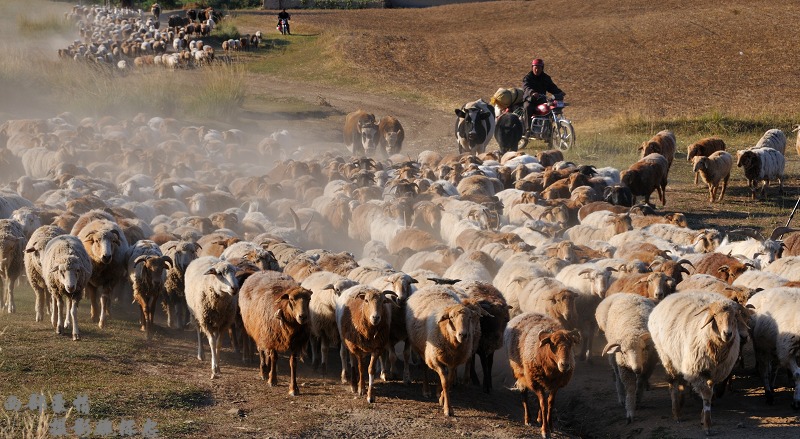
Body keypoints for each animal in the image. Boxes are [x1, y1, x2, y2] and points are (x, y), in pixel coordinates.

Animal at [238, 270, 312, 398]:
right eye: (291, 299)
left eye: (309, 300)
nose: (303, 317)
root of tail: (258, 272)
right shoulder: (272, 337)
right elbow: (274, 357)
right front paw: (272, 380)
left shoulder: (295, 342)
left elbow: (293, 363)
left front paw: (293, 388)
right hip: (259, 330)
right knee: (261, 350)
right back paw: (264, 371)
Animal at [404, 286, 484, 416]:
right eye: (451, 317)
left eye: (470, 318)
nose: (463, 335)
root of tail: (432, 286)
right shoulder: (435, 359)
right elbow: (445, 382)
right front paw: (448, 408)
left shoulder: (454, 361)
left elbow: (449, 380)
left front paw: (442, 398)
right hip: (422, 349)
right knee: (425, 368)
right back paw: (426, 390)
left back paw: (437, 392)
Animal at [592, 294, 656, 424]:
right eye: (624, 352)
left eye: (643, 349)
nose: (637, 369)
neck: (633, 327)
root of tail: (628, 294)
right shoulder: (624, 367)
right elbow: (630, 388)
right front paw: (630, 410)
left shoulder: (650, 365)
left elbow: (641, 382)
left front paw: (638, 399)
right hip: (613, 358)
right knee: (617, 376)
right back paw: (621, 397)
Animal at [648, 292, 744, 436]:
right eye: (715, 315)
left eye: (734, 316)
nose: (727, 334)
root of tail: (668, 296)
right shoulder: (696, 371)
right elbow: (707, 394)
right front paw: (707, 425)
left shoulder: (714, 373)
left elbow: (710, 393)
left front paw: (703, 418)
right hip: (666, 356)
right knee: (673, 383)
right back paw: (677, 413)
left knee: (681, 382)